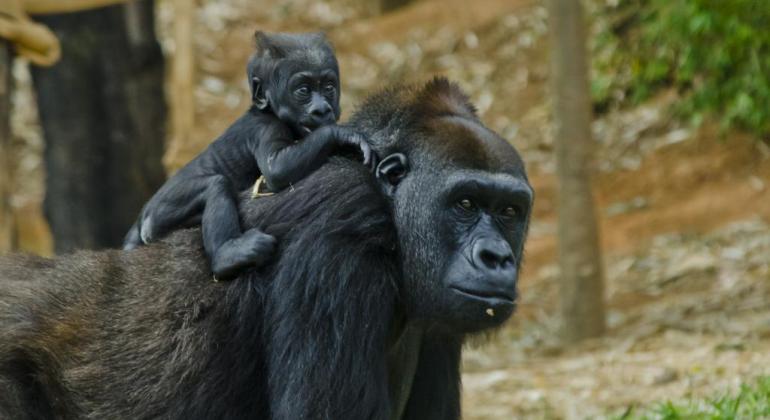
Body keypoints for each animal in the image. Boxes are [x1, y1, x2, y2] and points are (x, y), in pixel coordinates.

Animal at [124, 30, 372, 278]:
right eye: (303, 91)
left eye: (328, 87)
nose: (321, 110)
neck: (269, 111)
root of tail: (140, 220)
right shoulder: (266, 128)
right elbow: (277, 170)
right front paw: (342, 135)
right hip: (158, 217)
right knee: (215, 185)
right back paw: (227, 255)